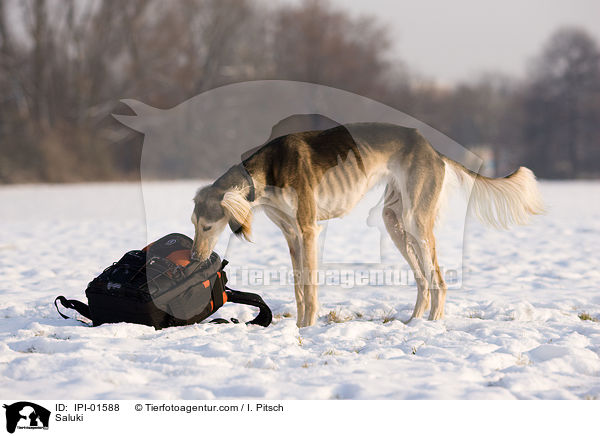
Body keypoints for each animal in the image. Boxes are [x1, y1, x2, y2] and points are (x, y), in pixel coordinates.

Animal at [192, 122, 544, 328]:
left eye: (207, 227)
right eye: (193, 223)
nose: (195, 258)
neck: (267, 172)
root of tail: (432, 150)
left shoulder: (308, 230)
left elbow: (310, 288)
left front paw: (308, 328)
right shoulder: (291, 235)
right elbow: (298, 287)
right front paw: (298, 327)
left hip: (416, 222)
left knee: (439, 281)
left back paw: (432, 325)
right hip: (395, 224)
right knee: (423, 281)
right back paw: (414, 323)